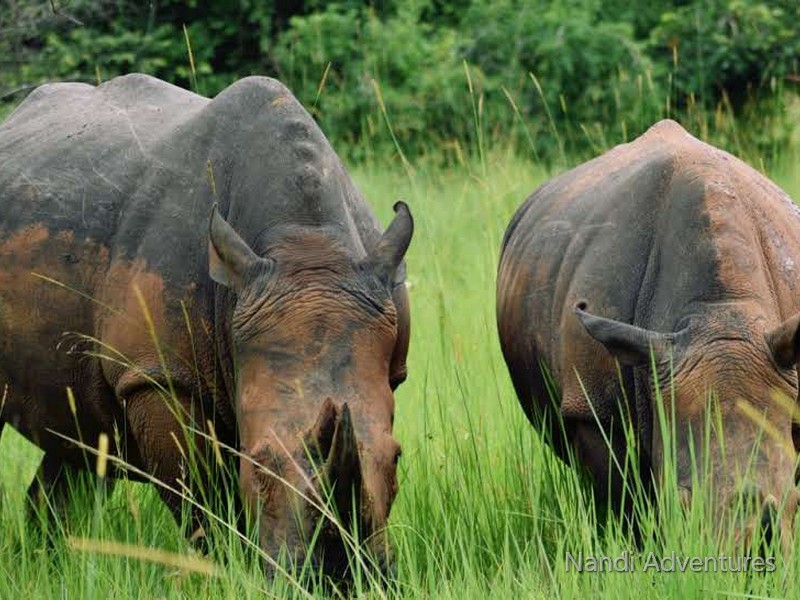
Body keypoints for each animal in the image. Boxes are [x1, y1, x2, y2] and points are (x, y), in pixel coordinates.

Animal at [0, 73, 412, 581]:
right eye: (258, 463)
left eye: (397, 458)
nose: (337, 577)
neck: (307, 248)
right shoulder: (158, 375)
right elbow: (204, 498)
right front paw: (232, 568)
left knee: (78, 431)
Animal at [497, 119, 800, 545]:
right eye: (682, 502)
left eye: (794, 500)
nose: (748, 558)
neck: (719, 313)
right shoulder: (594, 407)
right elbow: (626, 502)